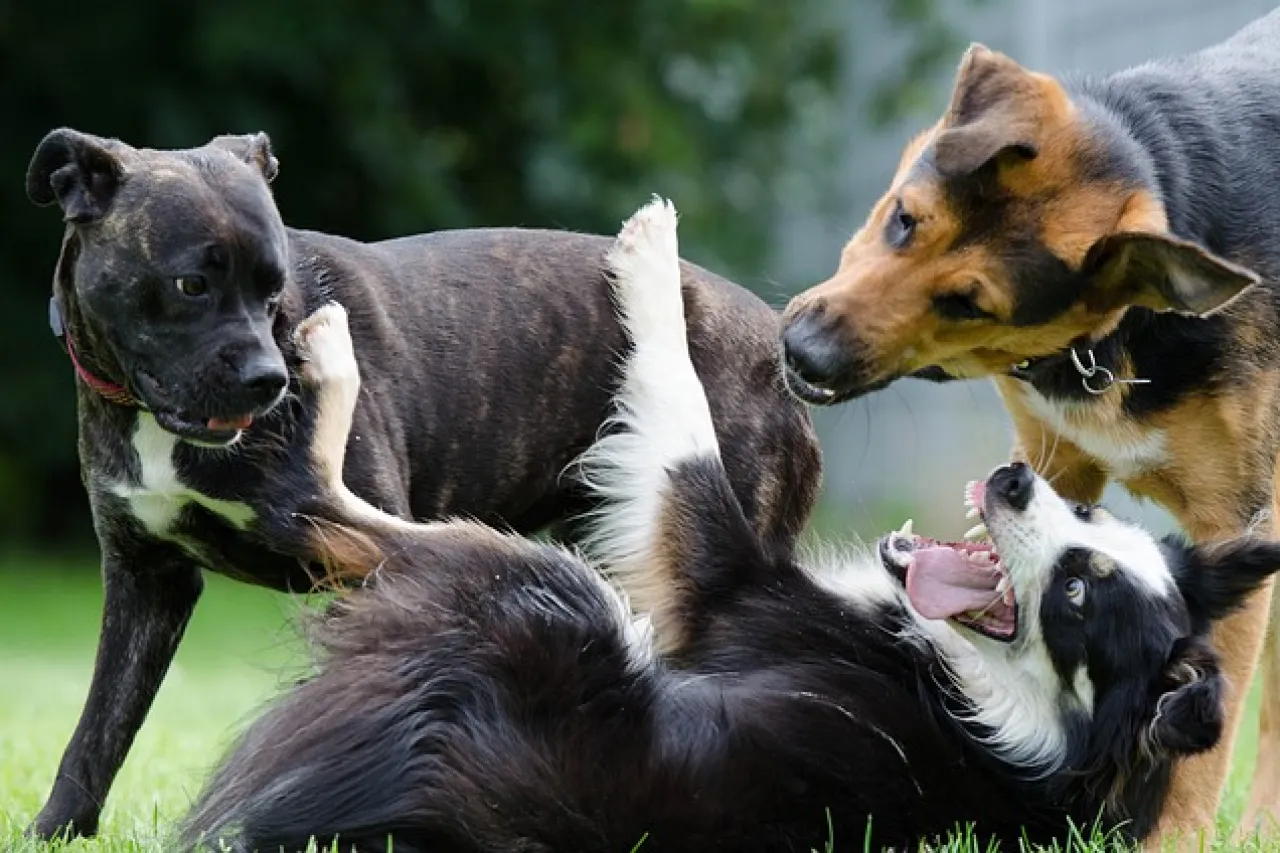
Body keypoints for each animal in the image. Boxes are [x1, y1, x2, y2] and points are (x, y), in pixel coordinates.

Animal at [24, 128, 824, 835]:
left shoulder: (358, 569)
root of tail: (775, 343)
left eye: (274, 290)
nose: (269, 379)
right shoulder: (144, 578)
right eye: (190, 285)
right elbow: (100, 726)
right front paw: (56, 828)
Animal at [185, 201, 1280, 850]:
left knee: (326, 507)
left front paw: (650, 257)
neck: (999, 713)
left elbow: (682, 431)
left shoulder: (722, 586)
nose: (1013, 481)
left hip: (549, 587)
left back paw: (327, 360)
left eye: (1076, 594)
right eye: (1087, 512)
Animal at [773, 11, 1280, 845]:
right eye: (904, 220)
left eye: (967, 303)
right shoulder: (1055, 462)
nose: (799, 353)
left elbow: (1204, 740)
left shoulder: (1232, 519)